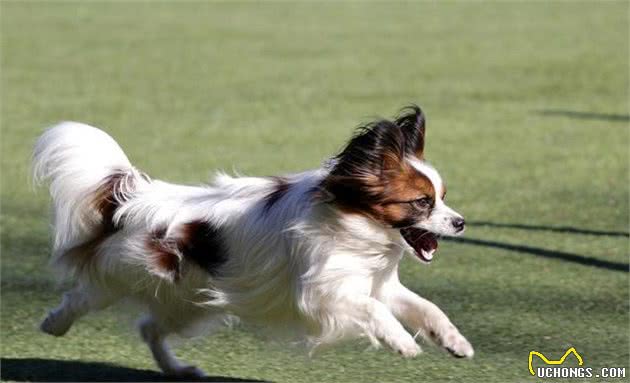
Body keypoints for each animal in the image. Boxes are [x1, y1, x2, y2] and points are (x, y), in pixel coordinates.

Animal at [33, 105, 474, 378]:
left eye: (443, 197)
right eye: (422, 202)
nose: (461, 222)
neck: (354, 225)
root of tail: (136, 196)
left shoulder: (376, 285)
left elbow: (427, 309)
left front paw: (455, 342)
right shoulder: (321, 296)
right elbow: (375, 312)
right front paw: (401, 343)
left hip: (189, 305)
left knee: (149, 328)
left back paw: (178, 370)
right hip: (121, 274)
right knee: (83, 296)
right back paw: (54, 324)